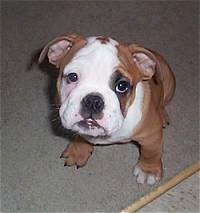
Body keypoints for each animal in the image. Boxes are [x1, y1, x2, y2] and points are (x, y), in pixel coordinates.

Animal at [38, 33, 175, 185]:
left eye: (122, 86)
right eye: (72, 77)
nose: (93, 101)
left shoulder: (151, 135)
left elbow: (151, 152)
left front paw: (148, 170)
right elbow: (80, 136)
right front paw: (78, 152)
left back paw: (163, 114)